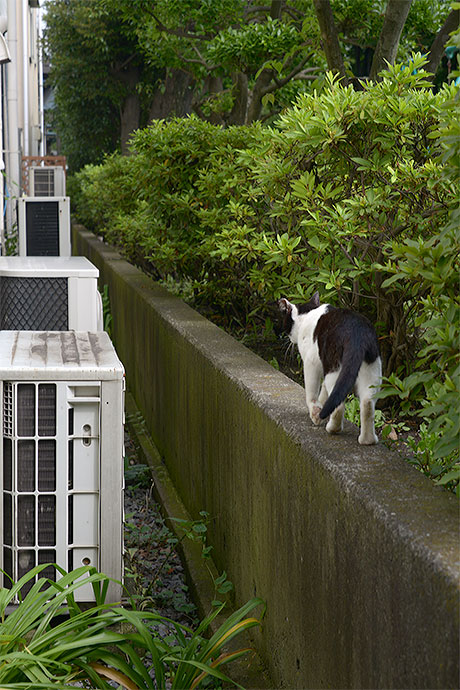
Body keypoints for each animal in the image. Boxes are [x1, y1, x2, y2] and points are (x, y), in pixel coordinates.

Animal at [280, 288, 380, 440]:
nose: (290, 339)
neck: (308, 313)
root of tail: (357, 333)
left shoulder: (311, 362)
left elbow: (312, 392)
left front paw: (315, 413)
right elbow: (325, 392)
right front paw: (321, 407)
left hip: (333, 367)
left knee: (339, 405)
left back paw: (333, 429)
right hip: (372, 369)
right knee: (367, 403)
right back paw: (367, 440)